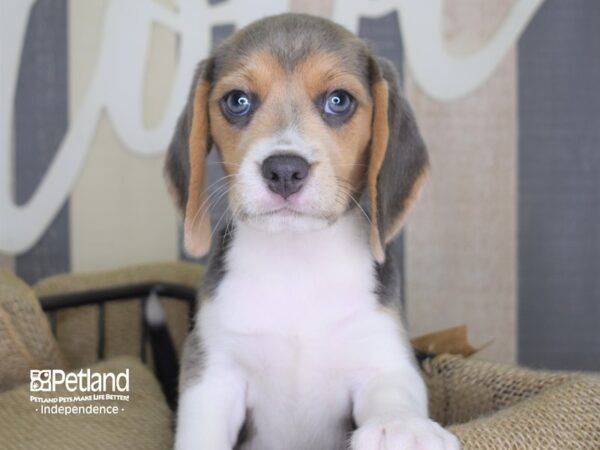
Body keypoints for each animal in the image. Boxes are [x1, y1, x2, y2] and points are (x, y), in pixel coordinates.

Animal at [164, 12, 460, 450]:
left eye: (338, 101)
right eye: (237, 101)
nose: (284, 170)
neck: (297, 260)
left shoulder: (383, 354)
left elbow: (392, 390)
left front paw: (401, 428)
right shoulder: (213, 370)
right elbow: (202, 432)